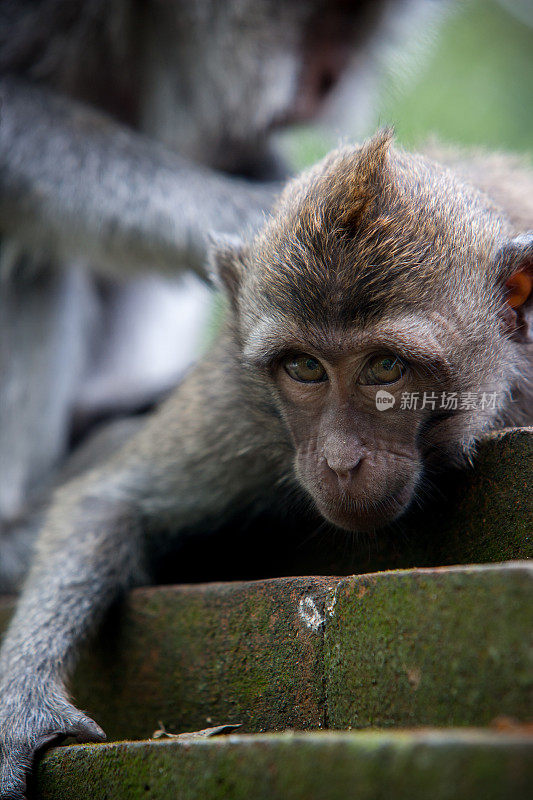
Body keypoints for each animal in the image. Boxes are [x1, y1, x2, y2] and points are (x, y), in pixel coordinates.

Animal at [1, 131, 532, 800]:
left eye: (387, 367)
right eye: (304, 367)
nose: (340, 460)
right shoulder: (237, 402)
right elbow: (106, 500)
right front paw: (22, 712)